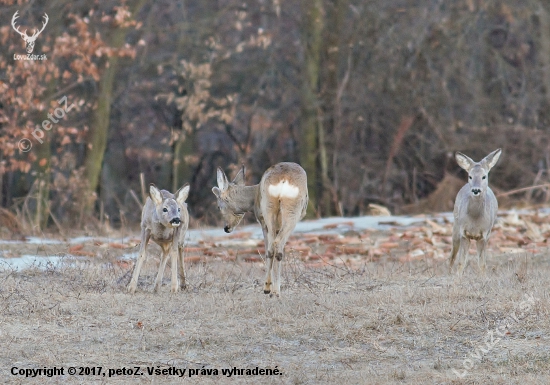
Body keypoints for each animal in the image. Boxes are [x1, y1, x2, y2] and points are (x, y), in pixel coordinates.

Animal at [212, 162, 310, 296]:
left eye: (218, 206)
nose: (226, 228)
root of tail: (284, 180)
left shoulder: (263, 221)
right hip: (287, 210)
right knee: (276, 245)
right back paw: (274, 290)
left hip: (272, 210)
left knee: (272, 247)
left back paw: (271, 290)